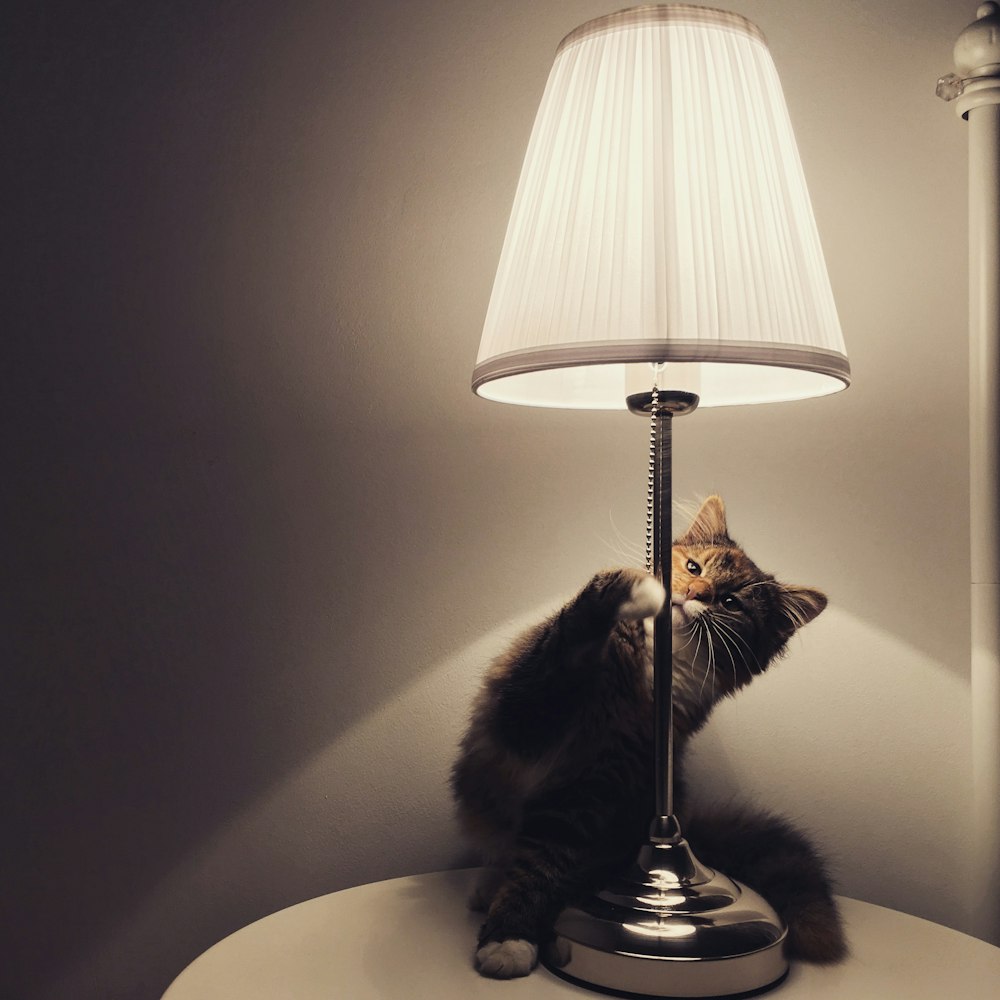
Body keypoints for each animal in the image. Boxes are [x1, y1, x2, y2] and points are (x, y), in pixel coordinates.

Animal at [452, 496, 844, 980]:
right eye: (694, 567)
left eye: (730, 602)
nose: (692, 594)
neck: (657, 667)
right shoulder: (525, 709)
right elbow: (570, 632)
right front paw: (639, 589)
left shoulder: (591, 792)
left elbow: (541, 868)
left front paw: (509, 938)